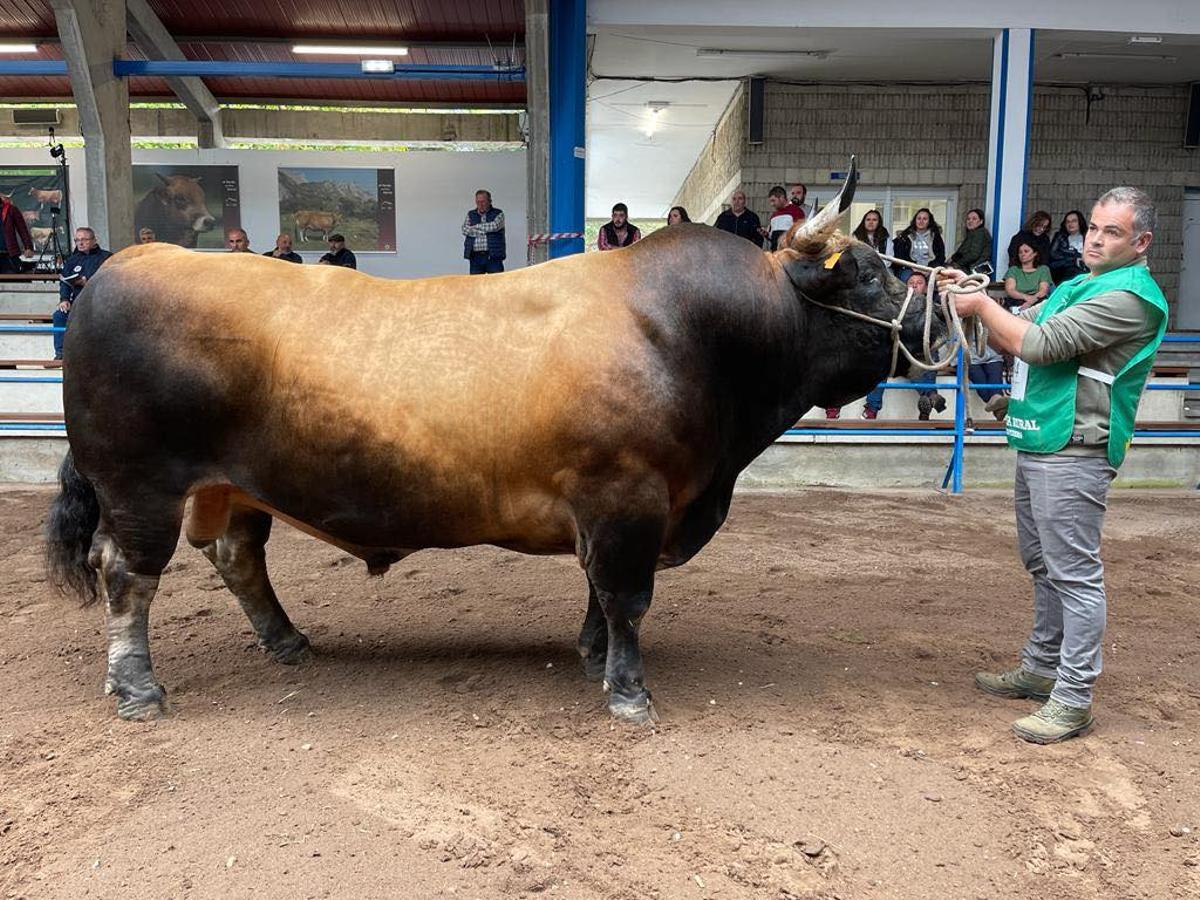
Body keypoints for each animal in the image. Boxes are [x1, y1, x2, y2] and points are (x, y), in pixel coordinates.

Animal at [46, 162, 936, 724]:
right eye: (866, 272)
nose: (935, 322)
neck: (686, 331)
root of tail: (122, 265)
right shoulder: (628, 494)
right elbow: (627, 595)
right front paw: (629, 693)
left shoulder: (617, 508)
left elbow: (600, 594)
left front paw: (591, 656)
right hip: (142, 485)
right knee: (127, 575)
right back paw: (137, 690)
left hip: (232, 486)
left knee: (237, 557)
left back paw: (287, 642)